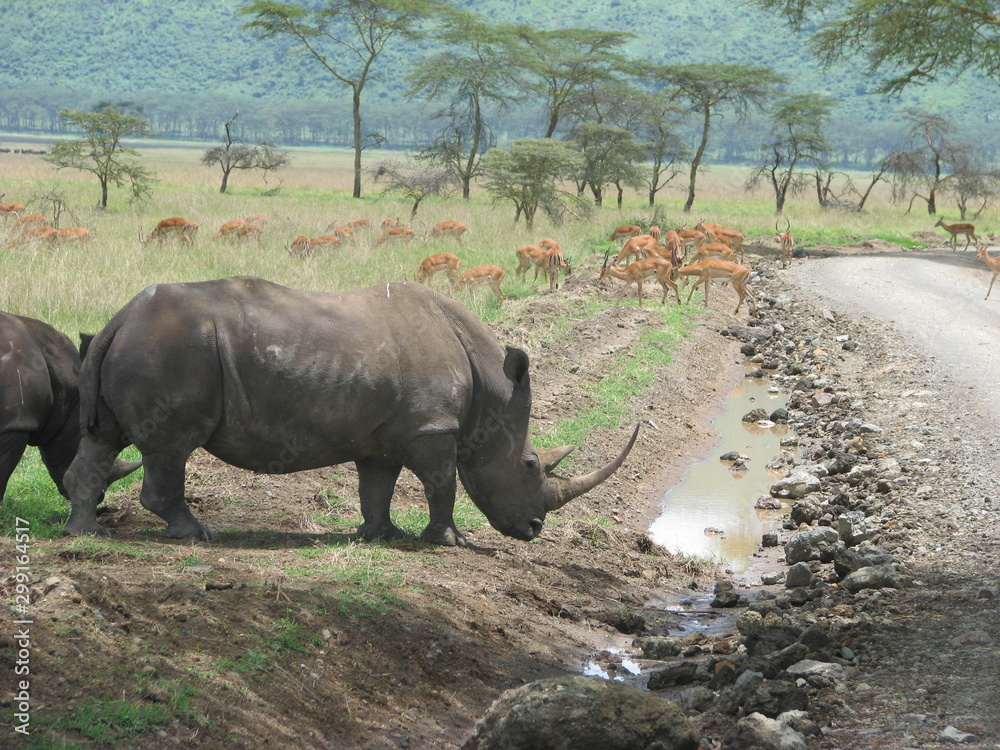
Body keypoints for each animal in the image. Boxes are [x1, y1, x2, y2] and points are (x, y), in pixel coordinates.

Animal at [63, 277, 638, 545]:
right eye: (530, 464)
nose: (535, 528)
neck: (491, 390)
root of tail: (119, 319)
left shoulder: (383, 434)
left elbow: (376, 485)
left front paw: (381, 536)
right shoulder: (432, 428)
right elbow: (442, 483)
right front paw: (450, 541)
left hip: (143, 345)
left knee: (103, 439)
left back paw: (85, 532)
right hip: (174, 349)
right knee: (170, 447)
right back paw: (195, 534)